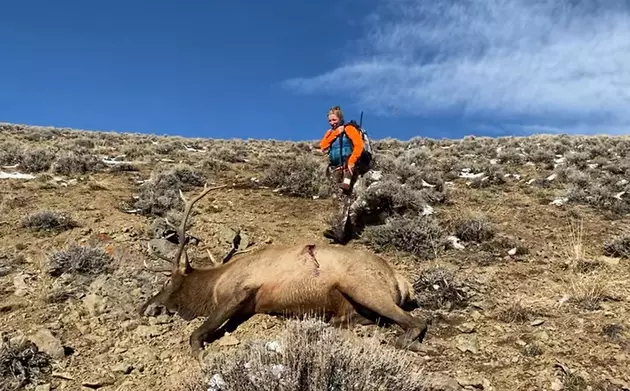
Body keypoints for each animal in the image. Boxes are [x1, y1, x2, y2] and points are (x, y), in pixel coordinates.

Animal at [139, 182, 430, 360]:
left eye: (167, 282)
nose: (145, 308)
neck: (212, 286)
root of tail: (403, 283)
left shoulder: (241, 291)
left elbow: (198, 333)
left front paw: (202, 351)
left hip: (363, 286)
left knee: (416, 322)